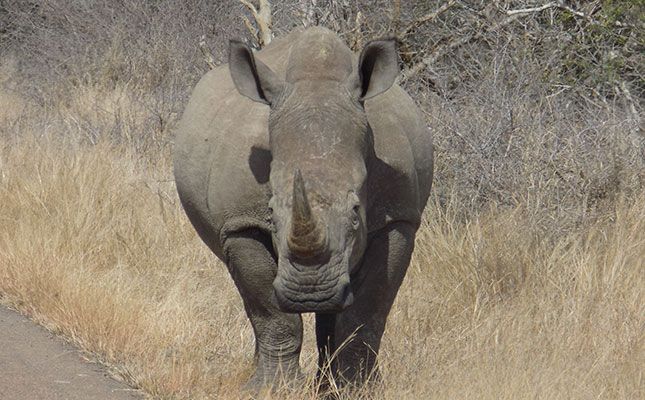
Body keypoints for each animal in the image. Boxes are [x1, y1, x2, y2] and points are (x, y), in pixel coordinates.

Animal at [174, 27, 433, 391]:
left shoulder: (398, 218)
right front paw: (270, 389)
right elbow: (271, 312)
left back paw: (327, 384)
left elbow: (367, 312)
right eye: (269, 214)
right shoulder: (240, 222)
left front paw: (358, 389)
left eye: (356, 211)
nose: (310, 295)